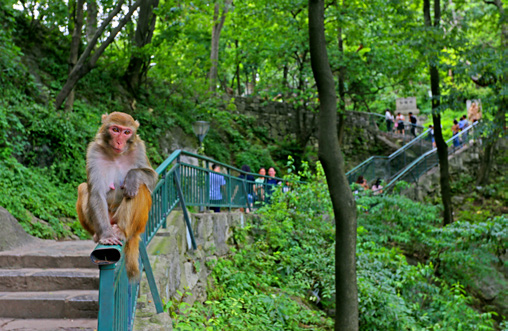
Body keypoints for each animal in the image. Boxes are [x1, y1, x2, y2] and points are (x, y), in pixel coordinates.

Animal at [75, 111, 157, 280]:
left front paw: (132, 177)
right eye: (115, 129)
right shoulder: (93, 151)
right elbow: (96, 192)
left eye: (126, 132)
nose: (119, 142)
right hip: (106, 218)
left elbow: (152, 178)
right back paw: (98, 234)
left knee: (141, 188)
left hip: (133, 223)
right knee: (83, 188)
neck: (116, 155)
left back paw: (122, 231)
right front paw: (106, 235)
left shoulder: (139, 148)